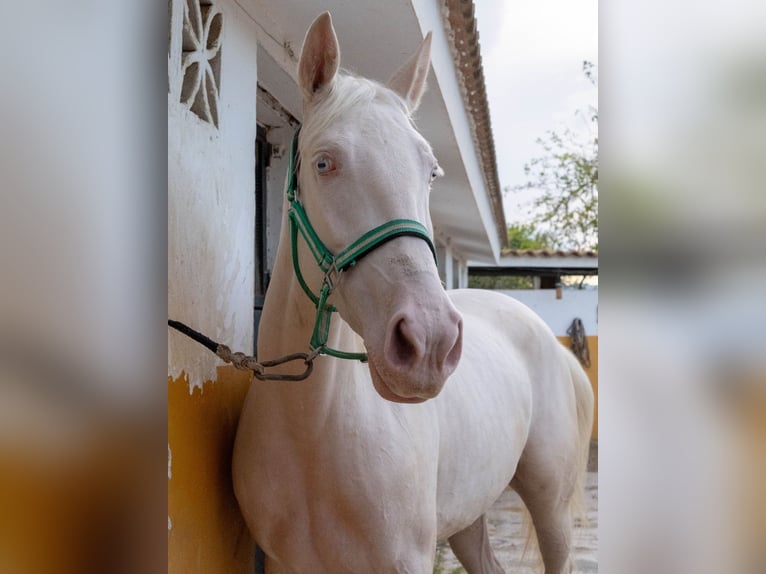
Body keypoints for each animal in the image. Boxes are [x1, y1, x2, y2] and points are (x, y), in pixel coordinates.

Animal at [232, 13, 592, 574]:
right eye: (323, 163)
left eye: (431, 171)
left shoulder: (405, 559)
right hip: (468, 516)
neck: (313, 433)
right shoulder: (285, 561)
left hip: (549, 502)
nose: (429, 343)